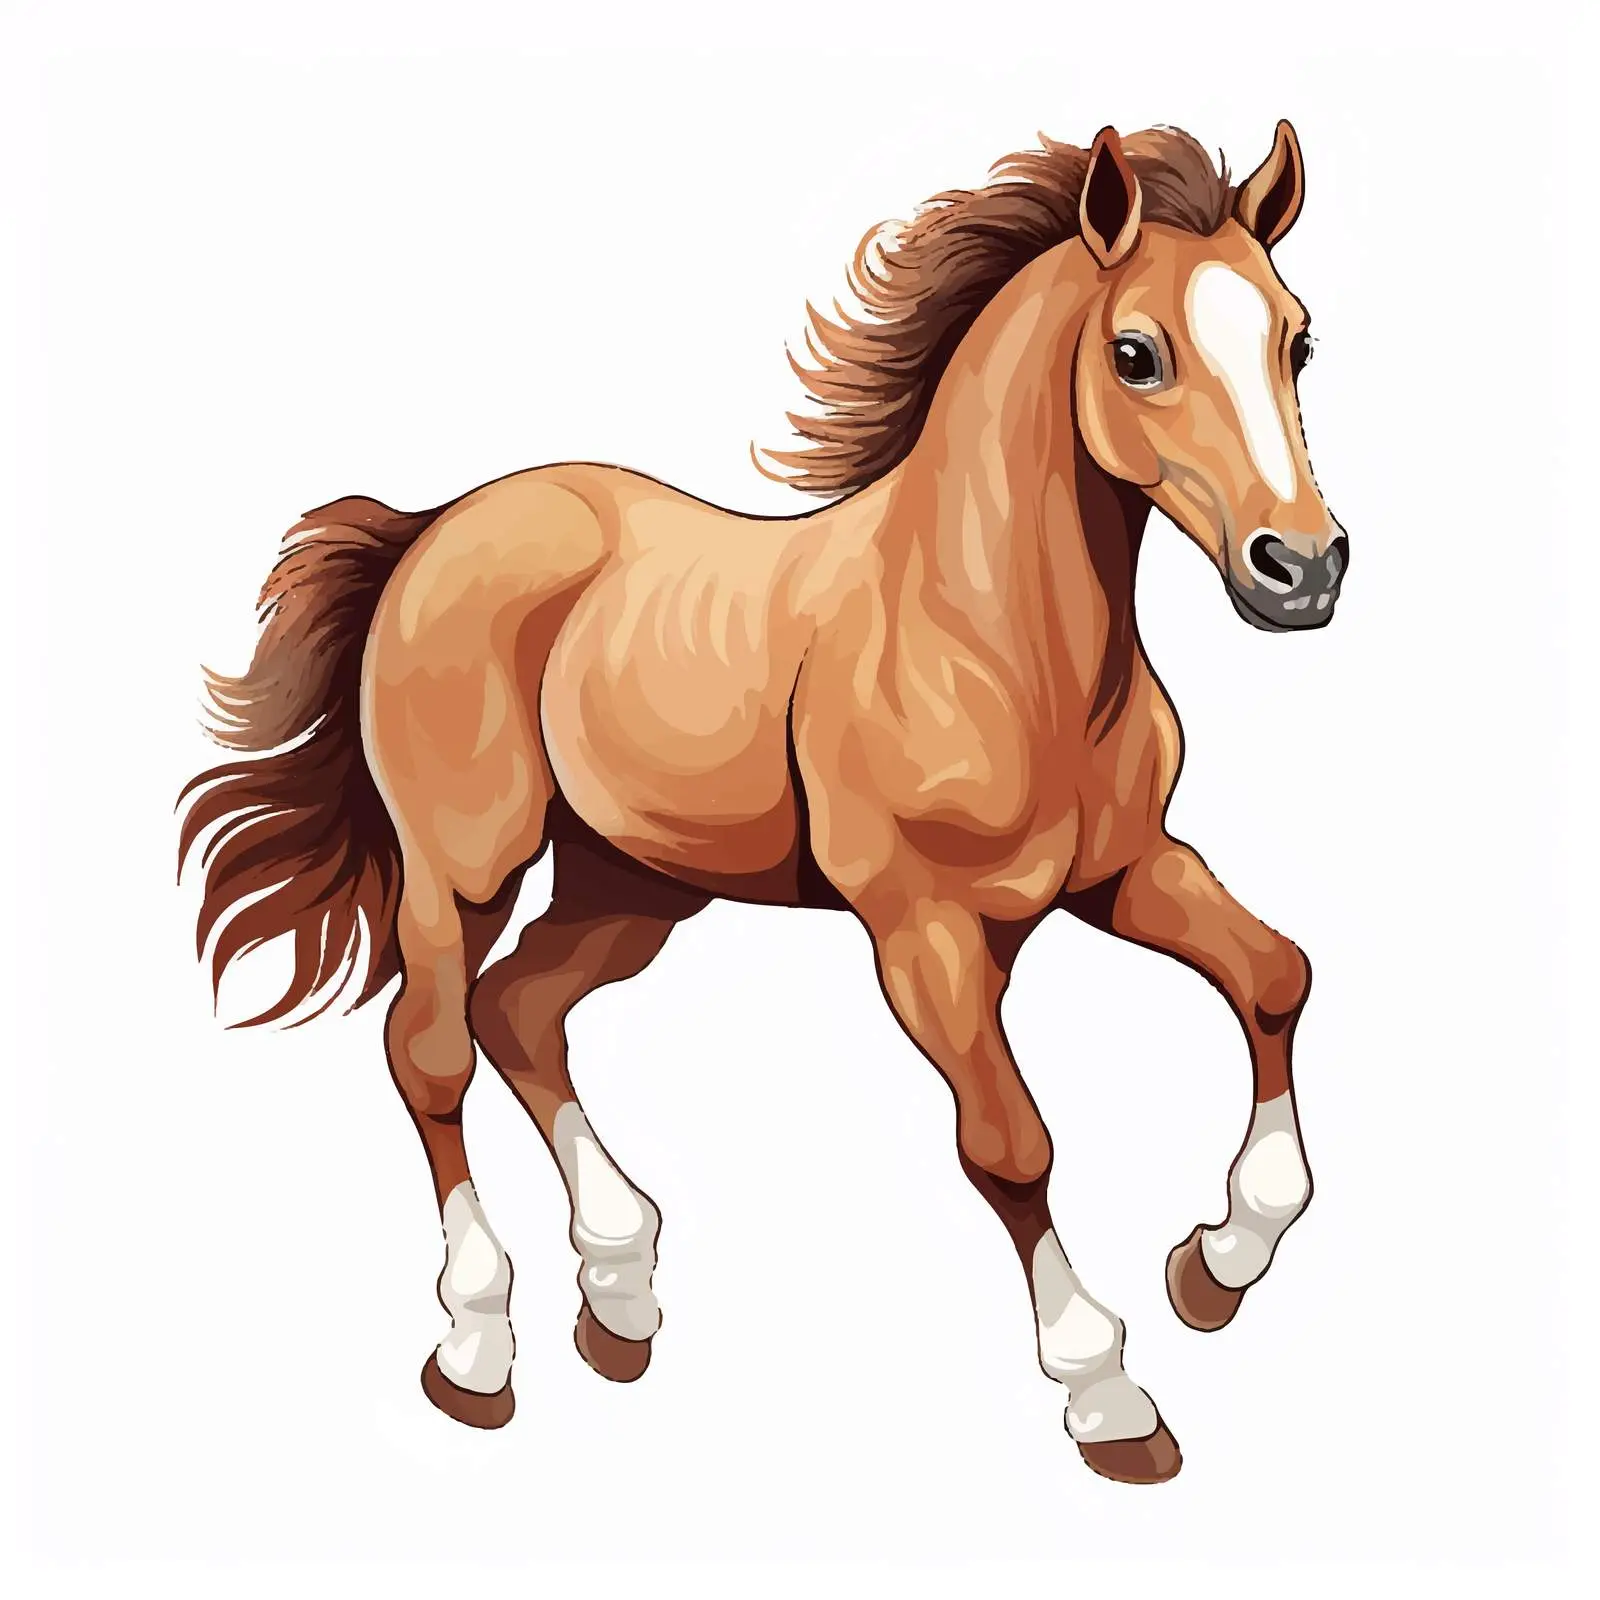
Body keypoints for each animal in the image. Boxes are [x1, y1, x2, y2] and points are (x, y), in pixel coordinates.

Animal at [179, 120, 1347, 1486]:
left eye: (1296, 338)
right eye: (1135, 352)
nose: (1300, 568)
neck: (994, 640)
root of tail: (432, 528)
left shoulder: (1123, 871)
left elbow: (1275, 976)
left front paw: (1214, 1263)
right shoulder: (922, 930)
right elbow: (1012, 1142)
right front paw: (1106, 1392)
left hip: (634, 884)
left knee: (521, 1007)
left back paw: (620, 1289)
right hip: (462, 863)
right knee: (431, 1048)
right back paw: (476, 1348)